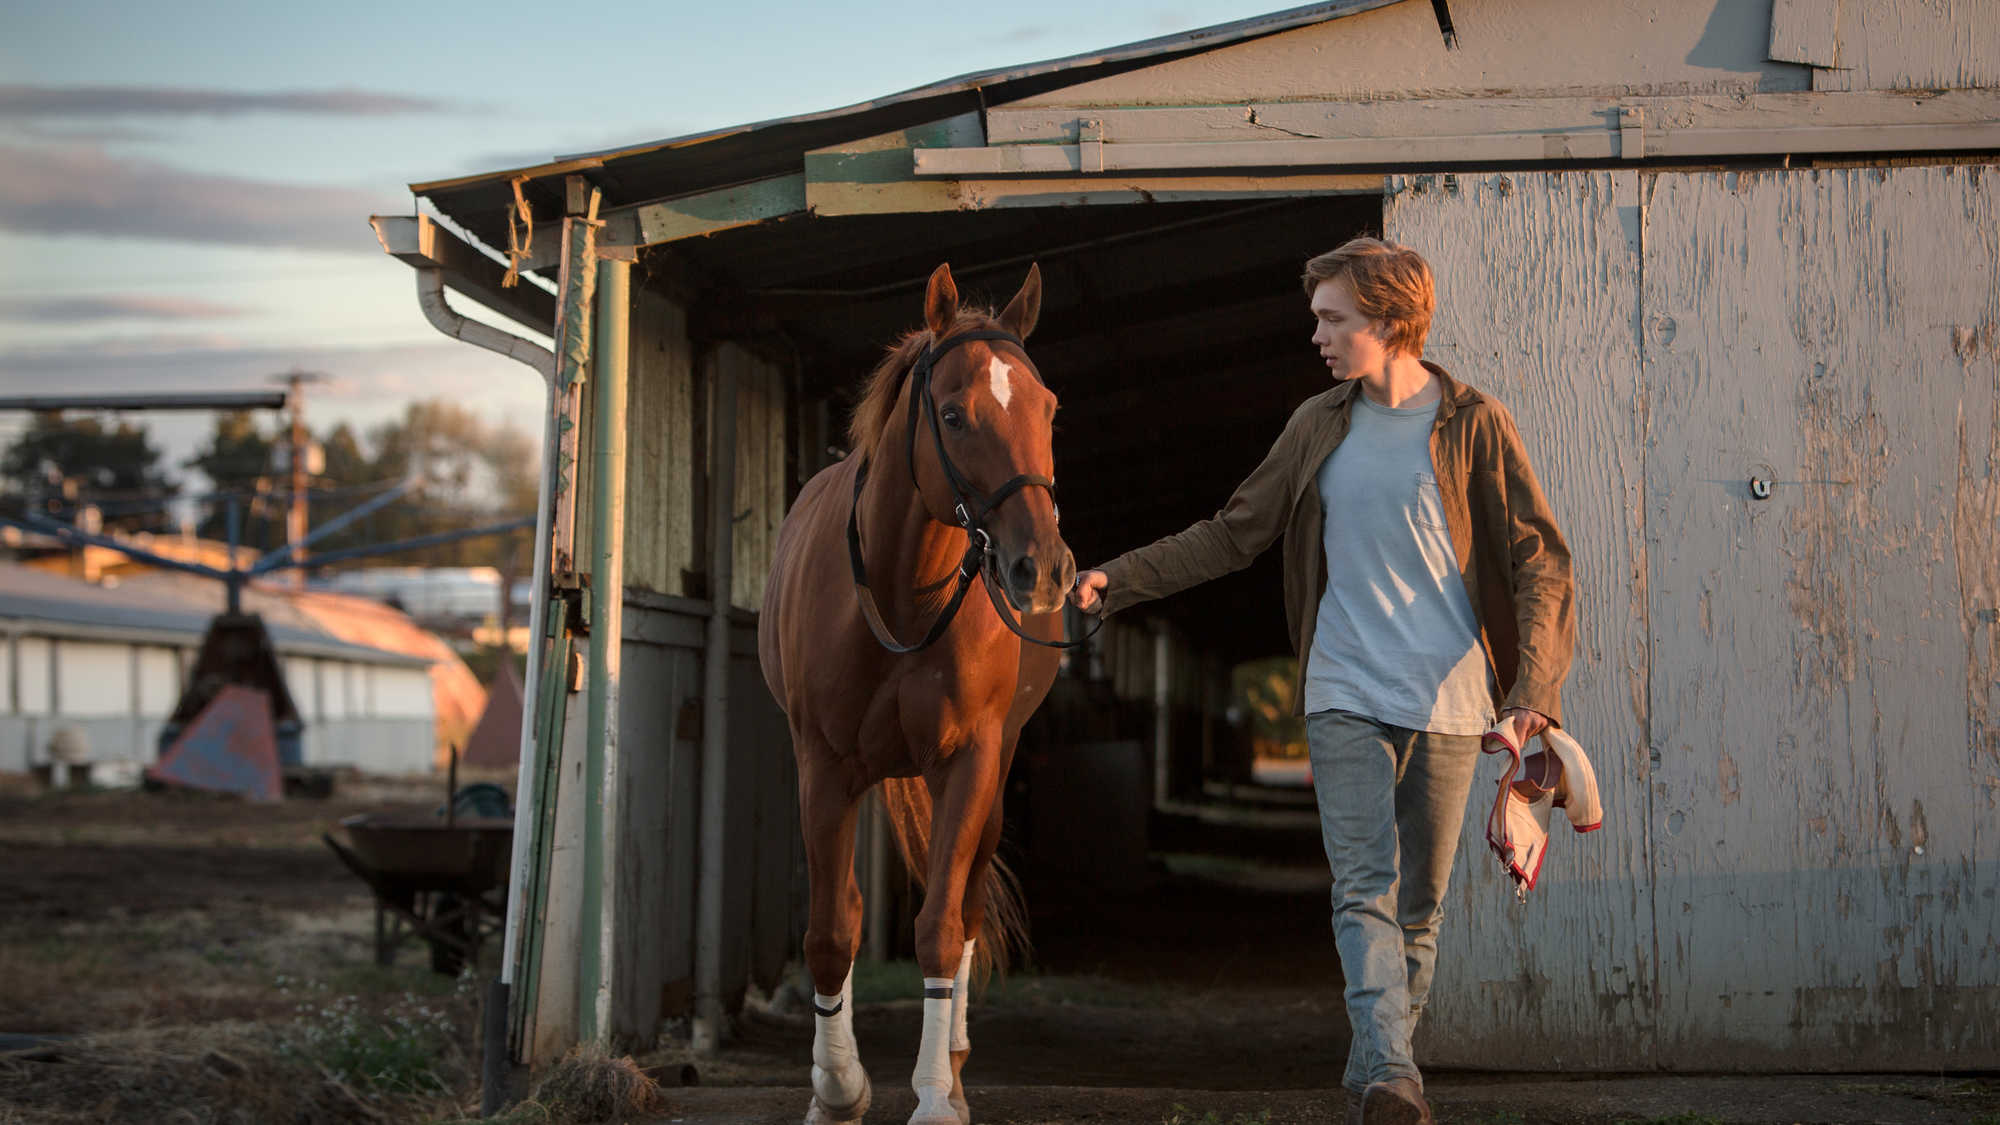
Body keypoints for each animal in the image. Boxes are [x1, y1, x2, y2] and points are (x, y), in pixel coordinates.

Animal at [760, 262, 1080, 1120]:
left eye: (1048, 408)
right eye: (954, 414)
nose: (1043, 569)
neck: (904, 593)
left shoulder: (970, 759)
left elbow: (940, 924)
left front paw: (937, 1094)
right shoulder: (823, 767)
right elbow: (830, 931)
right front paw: (837, 1088)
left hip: (994, 769)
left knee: (964, 906)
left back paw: (957, 1058)